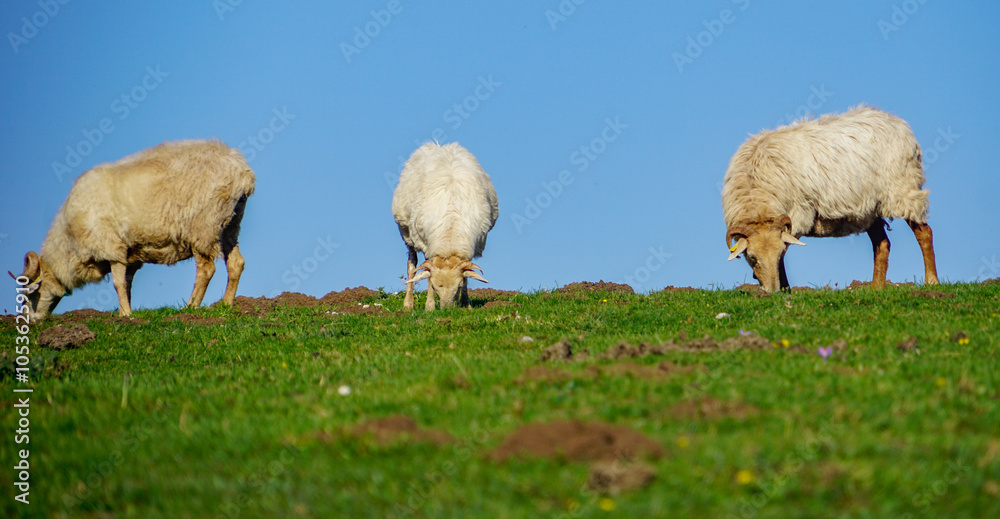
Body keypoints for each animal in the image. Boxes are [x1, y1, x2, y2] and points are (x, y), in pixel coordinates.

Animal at [12, 139, 255, 320]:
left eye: (27, 296)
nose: (29, 322)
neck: (68, 244)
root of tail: (241, 169)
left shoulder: (112, 247)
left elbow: (118, 283)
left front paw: (124, 315)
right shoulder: (129, 255)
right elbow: (127, 284)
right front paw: (127, 311)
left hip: (203, 228)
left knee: (206, 270)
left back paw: (190, 307)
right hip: (229, 225)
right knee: (236, 263)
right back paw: (226, 304)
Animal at [391, 142, 499, 310]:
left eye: (459, 286)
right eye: (435, 288)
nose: (447, 309)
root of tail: (439, 145)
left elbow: (467, 274)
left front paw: (466, 304)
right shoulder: (426, 246)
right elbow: (427, 276)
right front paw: (430, 306)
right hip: (407, 233)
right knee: (412, 265)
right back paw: (408, 304)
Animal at [721, 106, 939, 292]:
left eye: (775, 254)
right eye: (752, 257)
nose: (771, 291)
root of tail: (897, 121)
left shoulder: (797, 215)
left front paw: (784, 289)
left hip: (902, 189)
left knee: (924, 232)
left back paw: (931, 281)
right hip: (868, 208)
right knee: (882, 243)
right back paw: (876, 288)